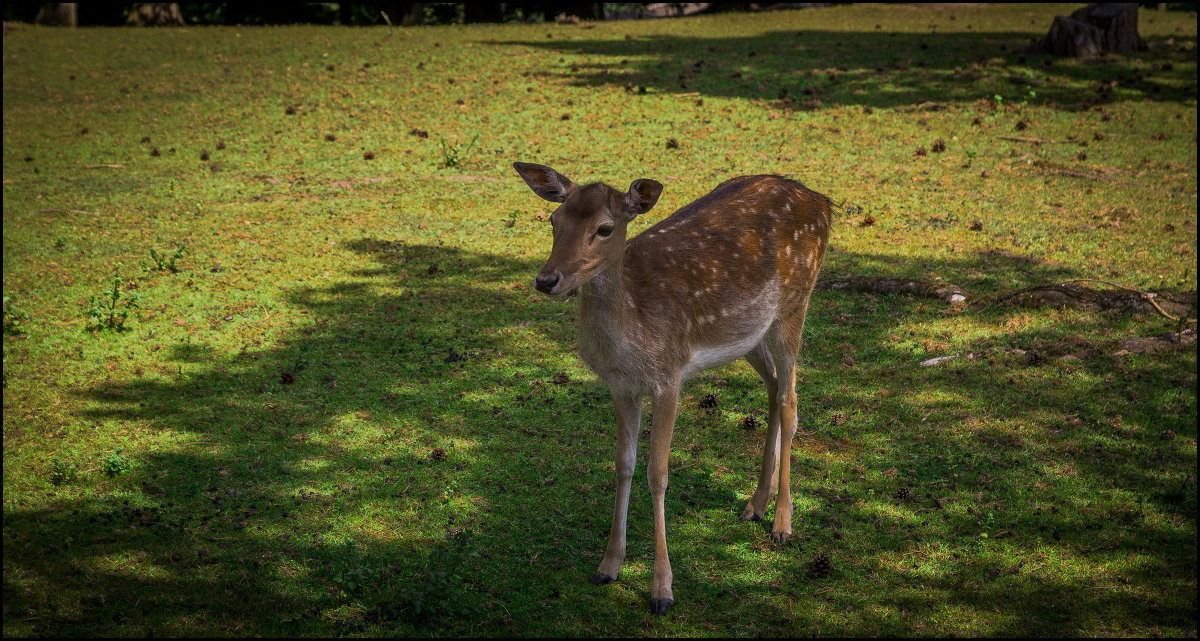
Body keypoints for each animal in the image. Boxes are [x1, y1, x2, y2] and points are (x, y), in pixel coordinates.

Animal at [516, 162, 835, 619]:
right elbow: (623, 464)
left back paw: (782, 523)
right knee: (775, 387)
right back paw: (755, 504)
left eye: (605, 228)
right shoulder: (621, 386)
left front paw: (662, 589)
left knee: (791, 399)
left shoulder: (668, 376)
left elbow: (658, 473)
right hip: (749, 334)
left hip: (796, 303)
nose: (546, 280)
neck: (630, 335)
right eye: (554, 221)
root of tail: (822, 201)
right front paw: (608, 566)